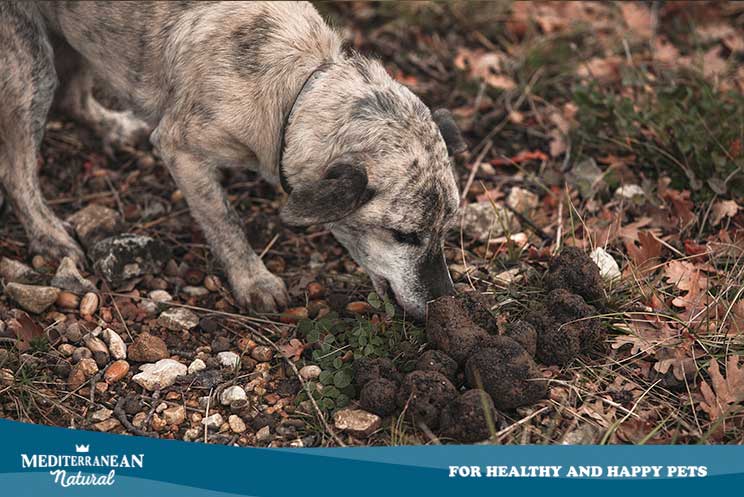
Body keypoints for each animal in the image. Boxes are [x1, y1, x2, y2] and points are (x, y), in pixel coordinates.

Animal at [0, 1, 464, 320]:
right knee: (17, 170)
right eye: (404, 236)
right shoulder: (181, 149)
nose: (445, 302)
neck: (297, 89)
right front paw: (253, 279)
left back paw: (113, 127)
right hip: (31, 65)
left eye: (446, 231)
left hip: (75, 33)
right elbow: (225, 222)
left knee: (74, 98)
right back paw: (48, 234)